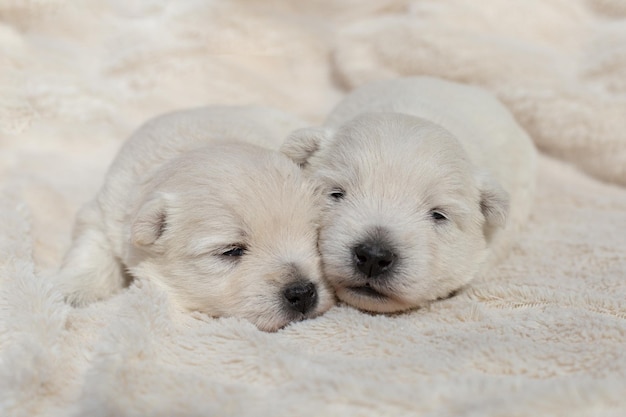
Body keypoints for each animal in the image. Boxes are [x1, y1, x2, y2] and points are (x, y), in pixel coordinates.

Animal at [53, 105, 334, 330]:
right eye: (231, 251)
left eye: (314, 238)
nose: (302, 292)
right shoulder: (108, 210)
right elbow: (93, 247)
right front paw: (73, 291)